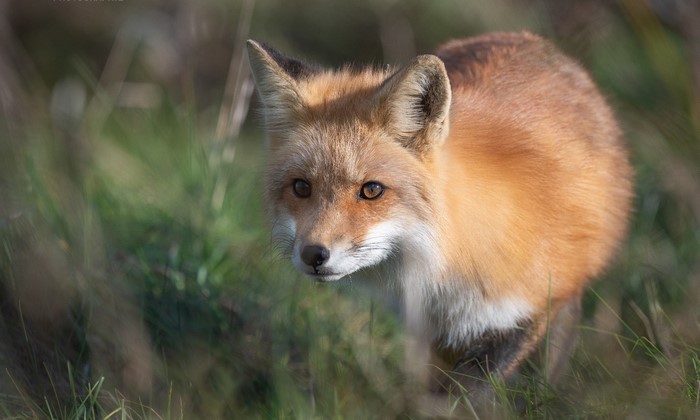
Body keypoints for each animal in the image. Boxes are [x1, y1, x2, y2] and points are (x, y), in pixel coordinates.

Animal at [246, 31, 633, 397]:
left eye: (371, 190)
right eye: (301, 187)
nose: (313, 255)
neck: (444, 266)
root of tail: (529, 38)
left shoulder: (523, 314)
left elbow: (467, 398)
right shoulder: (430, 330)